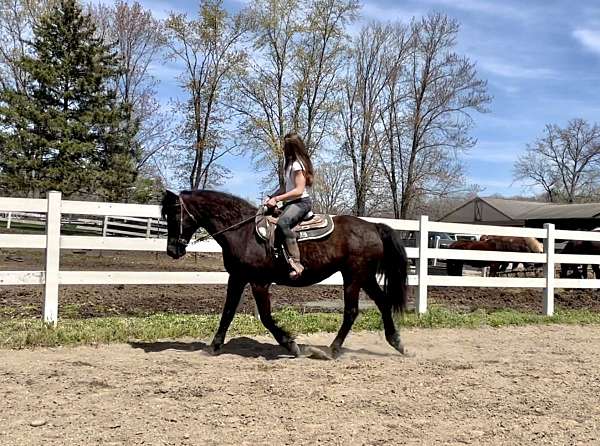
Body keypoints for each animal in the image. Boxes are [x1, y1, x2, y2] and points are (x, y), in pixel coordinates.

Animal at [162, 190, 410, 358]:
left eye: (174, 213)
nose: (172, 250)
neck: (243, 231)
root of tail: (373, 226)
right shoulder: (238, 278)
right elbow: (228, 312)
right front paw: (214, 346)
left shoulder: (259, 282)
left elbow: (265, 317)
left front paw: (290, 344)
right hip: (365, 277)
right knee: (383, 303)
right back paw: (397, 342)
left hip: (353, 277)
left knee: (351, 311)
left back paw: (331, 350)